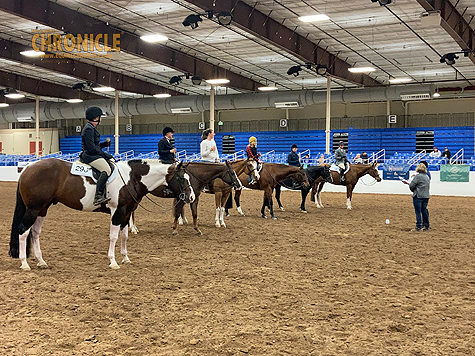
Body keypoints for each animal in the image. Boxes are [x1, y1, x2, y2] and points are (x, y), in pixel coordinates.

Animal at [7, 159, 193, 270]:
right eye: (181, 178)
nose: (190, 197)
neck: (131, 178)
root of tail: (28, 168)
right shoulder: (117, 212)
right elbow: (114, 237)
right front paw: (113, 261)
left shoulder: (126, 213)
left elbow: (124, 236)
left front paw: (126, 258)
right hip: (33, 208)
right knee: (23, 231)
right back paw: (24, 263)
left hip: (42, 209)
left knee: (35, 232)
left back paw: (41, 261)